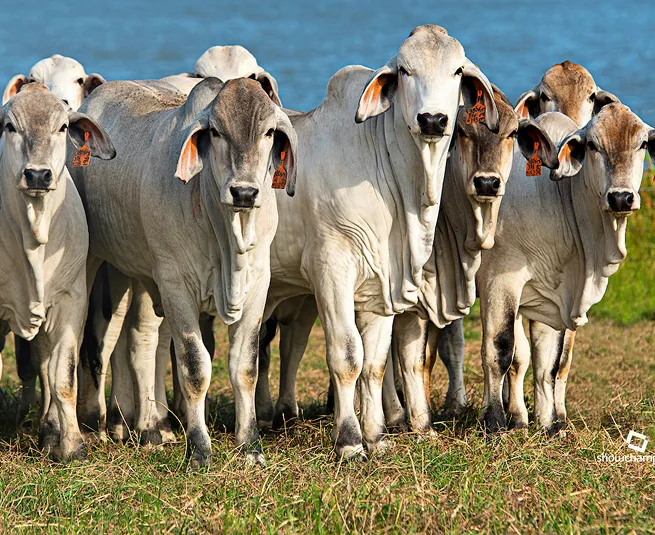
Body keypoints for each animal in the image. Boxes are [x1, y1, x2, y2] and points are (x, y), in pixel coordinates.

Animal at [0, 83, 115, 460]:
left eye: (62, 127)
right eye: (10, 126)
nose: (37, 175)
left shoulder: (71, 302)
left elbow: (62, 376)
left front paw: (73, 446)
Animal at [69, 77, 297, 467]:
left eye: (269, 132)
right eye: (216, 132)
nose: (244, 192)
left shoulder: (257, 285)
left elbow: (245, 367)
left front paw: (250, 446)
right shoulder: (176, 285)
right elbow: (194, 367)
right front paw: (200, 450)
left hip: (138, 276)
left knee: (142, 341)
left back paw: (151, 428)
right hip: (96, 263)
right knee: (97, 339)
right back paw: (92, 427)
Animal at [260, 24, 499, 461]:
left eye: (458, 70)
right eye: (404, 70)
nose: (433, 119)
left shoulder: (382, 284)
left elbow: (375, 363)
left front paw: (377, 435)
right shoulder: (331, 271)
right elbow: (347, 356)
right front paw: (350, 441)